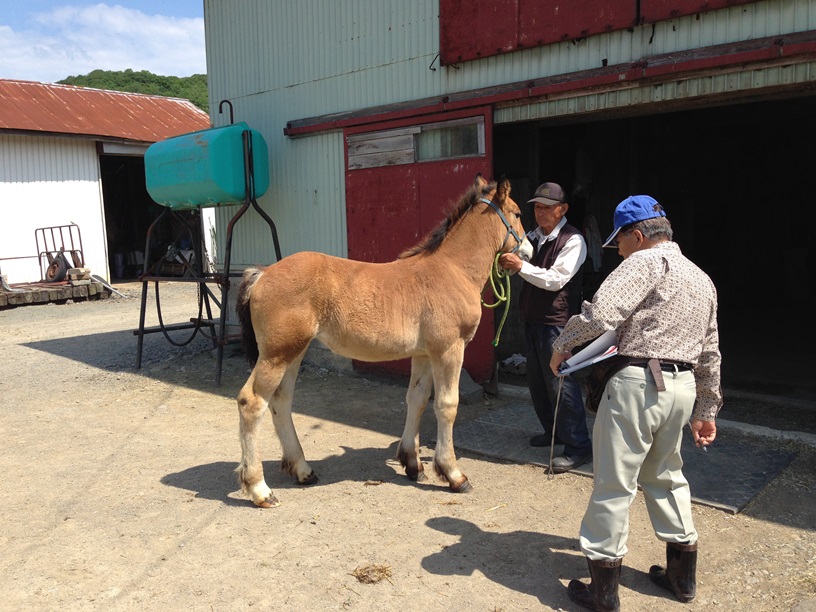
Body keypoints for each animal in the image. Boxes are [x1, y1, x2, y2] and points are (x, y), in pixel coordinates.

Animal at [234, 176, 536, 506]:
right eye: (518, 213)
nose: (530, 251)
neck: (453, 269)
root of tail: (262, 273)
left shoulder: (424, 354)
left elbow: (417, 399)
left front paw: (412, 464)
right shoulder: (449, 349)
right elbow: (447, 405)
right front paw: (453, 474)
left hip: (293, 352)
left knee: (281, 401)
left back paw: (303, 470)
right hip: (277, 354)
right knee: (252, 402)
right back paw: (259, 488)